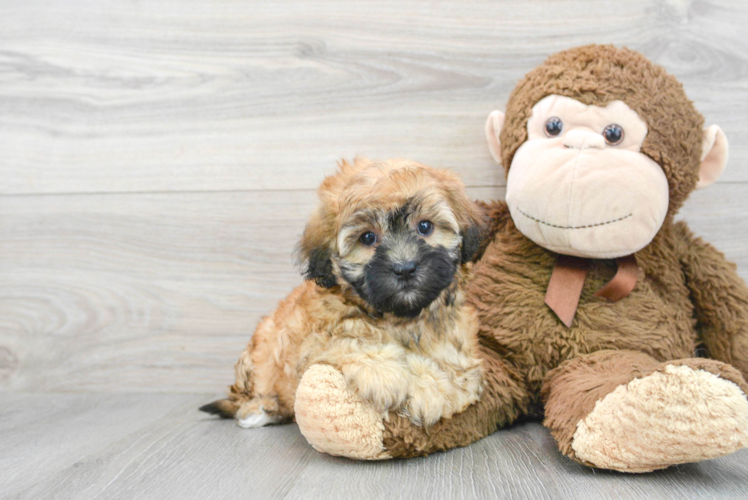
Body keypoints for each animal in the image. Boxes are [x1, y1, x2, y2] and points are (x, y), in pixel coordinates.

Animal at [202, 156, 488, 438]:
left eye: (425, 226)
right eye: (368, 237)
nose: (405, 268)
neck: (399, 317)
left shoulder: (461, 353)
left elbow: (454, 373)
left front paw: (429, 387)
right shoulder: (310, 340)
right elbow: (349, 339)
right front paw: (386, 374)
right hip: (259, 350)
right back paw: (260, 409)